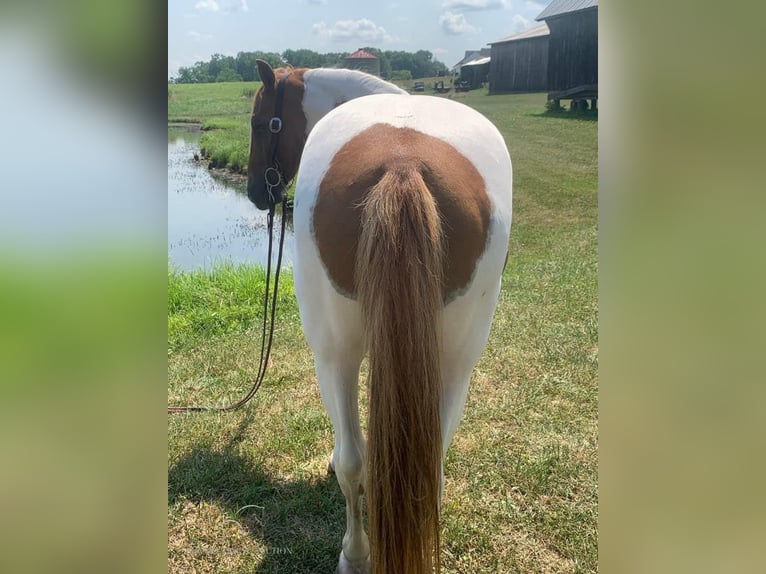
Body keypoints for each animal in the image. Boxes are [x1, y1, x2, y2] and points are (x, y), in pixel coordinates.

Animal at [249, 60, 512, 572]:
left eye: (257, 123)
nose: (254, 193)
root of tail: (403, 164)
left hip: (333, 353)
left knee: (354, 461)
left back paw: (355, 554)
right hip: (456, 359)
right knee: (432, 461)